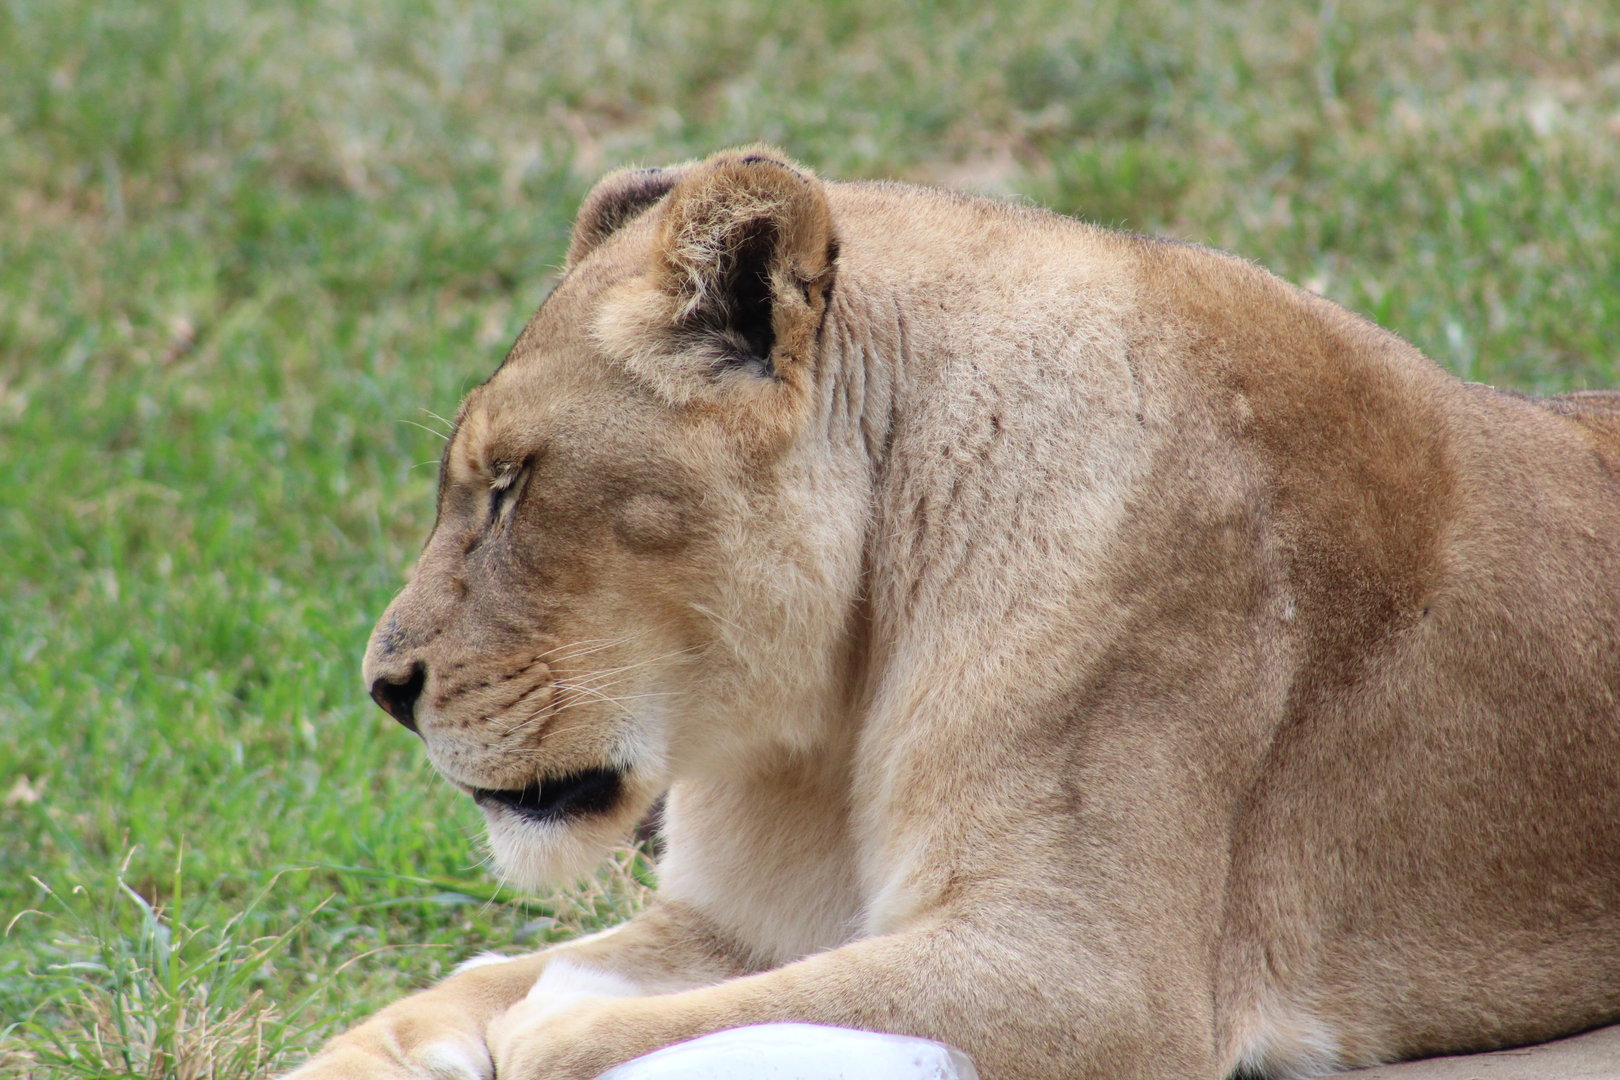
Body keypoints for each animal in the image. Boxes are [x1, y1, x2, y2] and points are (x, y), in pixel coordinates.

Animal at [284, 147, 1620, 1080]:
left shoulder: (1089, 972)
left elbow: (574, 1031)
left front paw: (554, 1021)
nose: (383, 692)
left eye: (512, 485)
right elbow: (461, 986)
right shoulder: (745, 920)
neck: (834, 702)